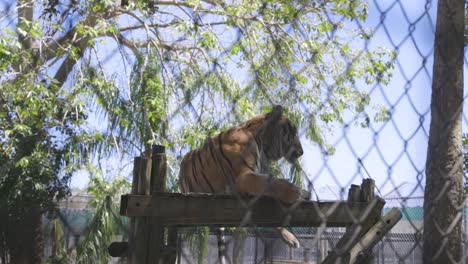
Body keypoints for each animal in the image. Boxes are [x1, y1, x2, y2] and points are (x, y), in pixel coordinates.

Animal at [178, 105, 308, 250]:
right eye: (294, 133)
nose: (302, 152)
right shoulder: (243, 177)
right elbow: (271, 182)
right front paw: (297, 192)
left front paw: (290, 237)